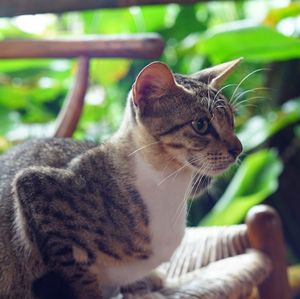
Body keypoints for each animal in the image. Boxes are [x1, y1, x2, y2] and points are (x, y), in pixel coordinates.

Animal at [0, 59, 243, 299]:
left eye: (232, 120)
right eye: (201, 125)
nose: (239, 149)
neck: (170, 187)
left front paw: (145, 281)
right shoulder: (37, 190)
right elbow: (81, 280)